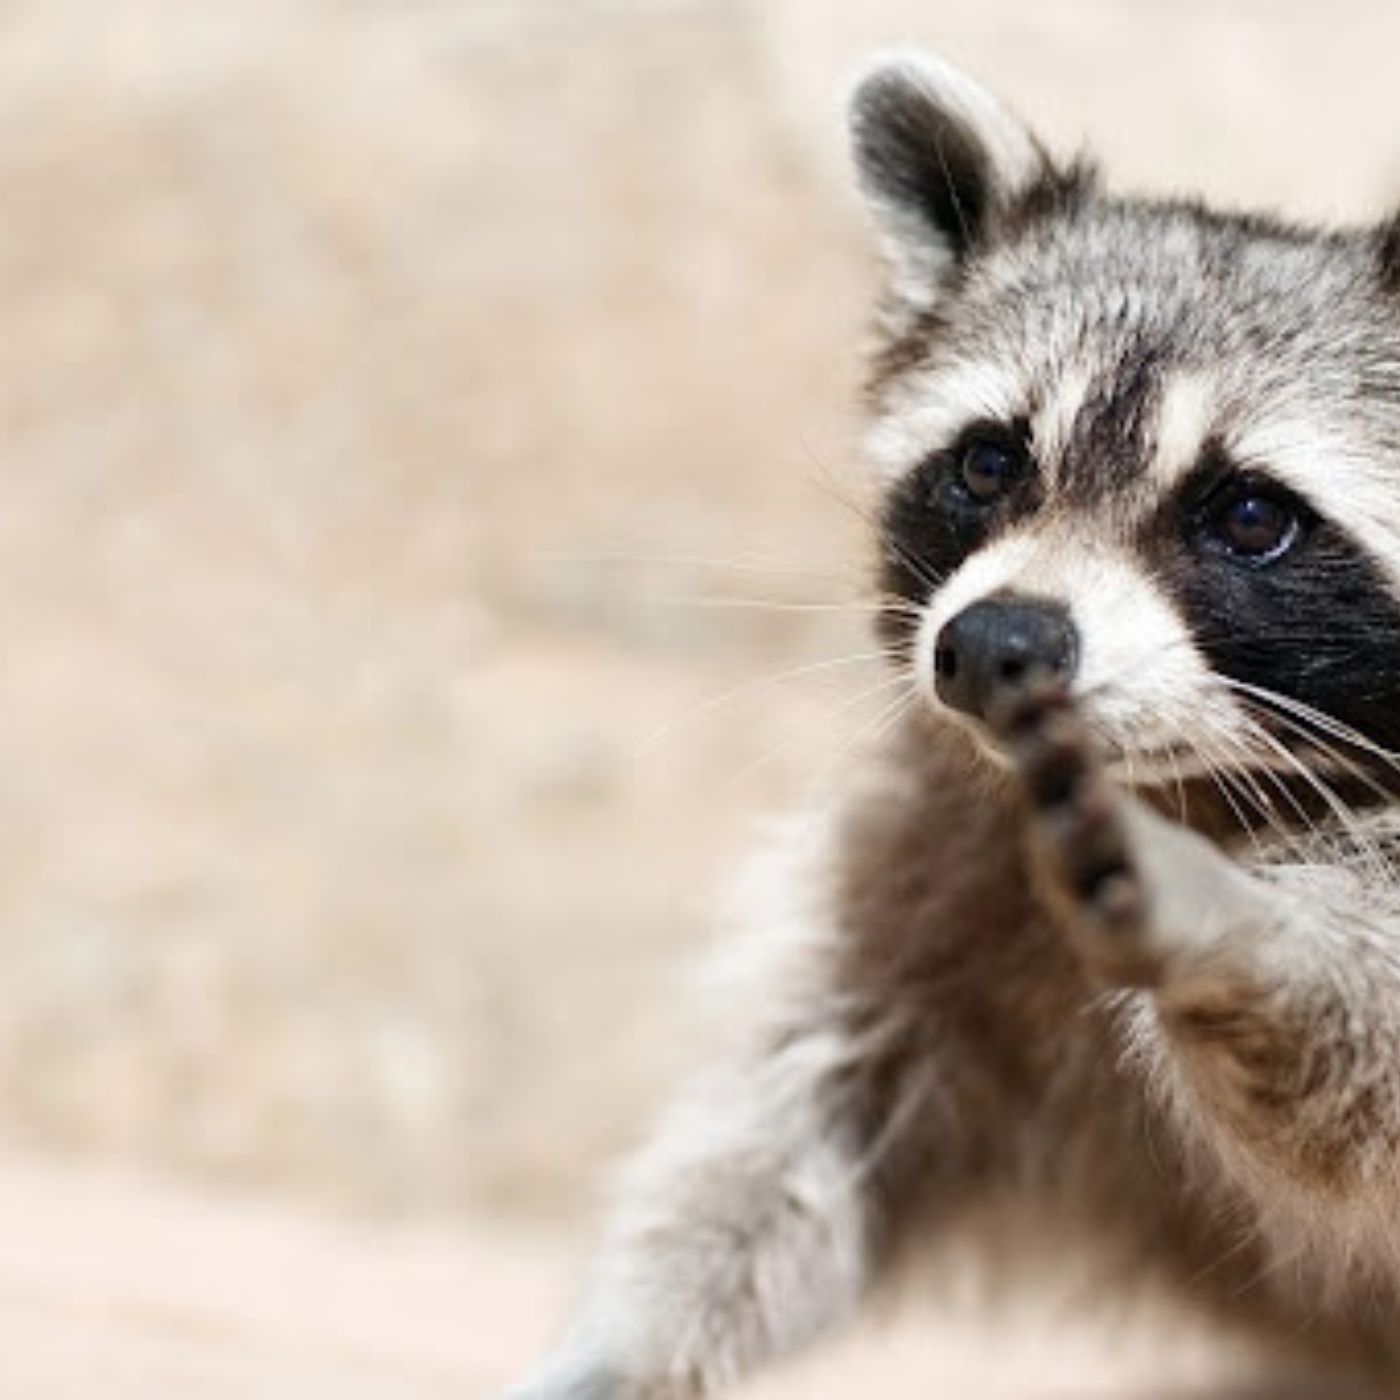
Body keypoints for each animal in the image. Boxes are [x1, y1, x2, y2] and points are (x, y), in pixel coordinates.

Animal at [509, 52, 1400, 1397]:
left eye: (1248, 515)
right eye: (987, 463)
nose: (991, 646)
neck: (1189, 781)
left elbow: (1366, 1050)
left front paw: (1242, 926)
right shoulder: (939, 866)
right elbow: (793, 1126)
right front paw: (622, 1346)